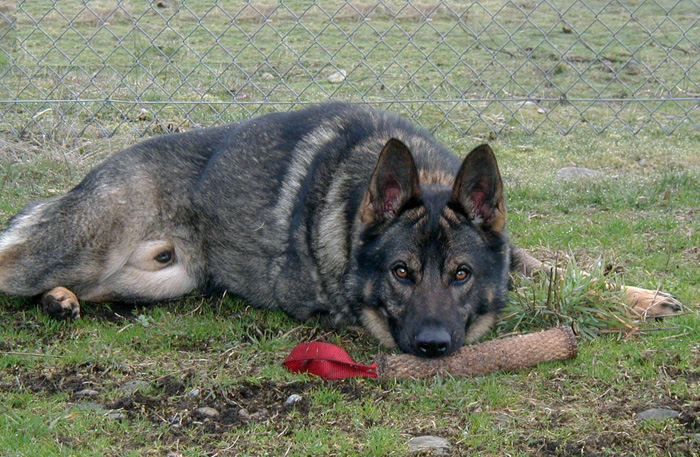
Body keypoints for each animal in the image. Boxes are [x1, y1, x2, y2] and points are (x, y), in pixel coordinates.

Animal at [0, 102, 680, 356]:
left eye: (461, 273)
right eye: (401, 273)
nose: (432, 346)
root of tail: (96, 171)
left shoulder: (509, 252)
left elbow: (555, 271)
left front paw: (637, 297)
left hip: (163, 280)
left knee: (87, 287)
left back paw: (61, 302)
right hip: (91, 243)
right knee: (16, 263)